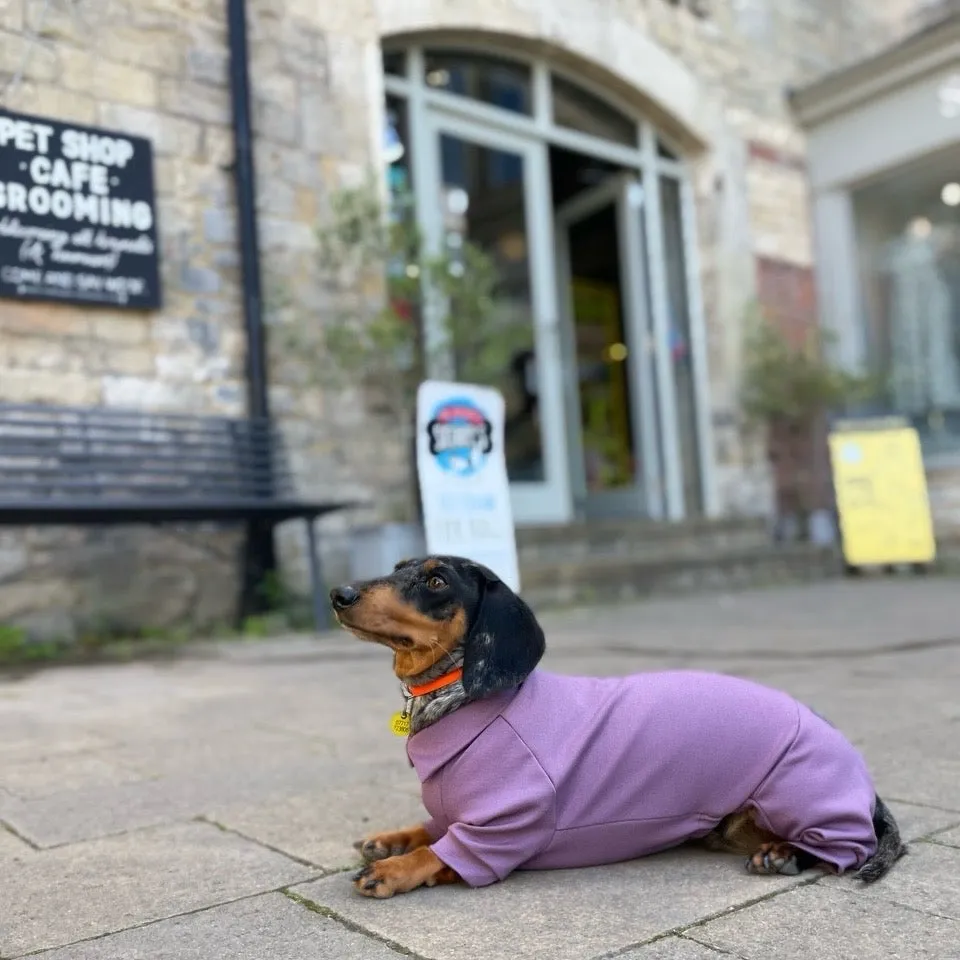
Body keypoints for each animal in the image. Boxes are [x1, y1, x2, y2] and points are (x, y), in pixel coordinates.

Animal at [328, 556, 900, 900]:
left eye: (435, 580)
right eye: (397, 568)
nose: (340, 592)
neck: (452, 699)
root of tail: (865, 784)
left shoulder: (501, 834)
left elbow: (439, 852)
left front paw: (393, 870)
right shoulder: (456, 815)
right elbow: (429, 828)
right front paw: (389, 841)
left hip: (799, 795)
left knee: (849, 847)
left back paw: (787, 855)